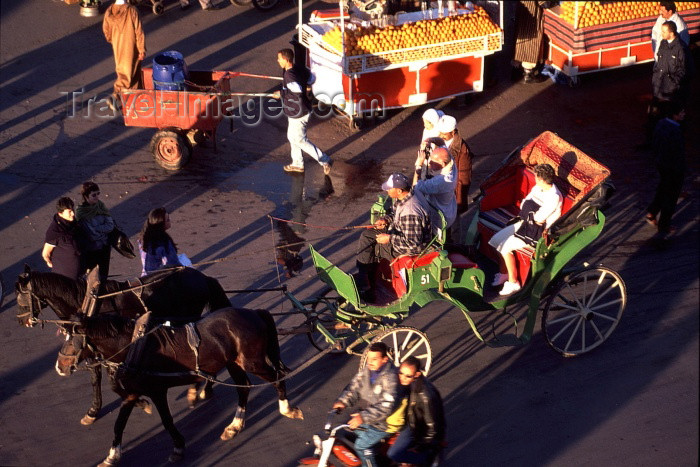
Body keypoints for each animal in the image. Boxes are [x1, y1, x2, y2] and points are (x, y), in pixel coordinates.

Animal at [14, 266, 232, 424]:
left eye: (20, 296)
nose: (21, 321)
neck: (88, 302)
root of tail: (202, 276)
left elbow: (112, 382)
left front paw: (140, 402)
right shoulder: (92, 348)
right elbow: (95, 378)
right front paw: (93, 411)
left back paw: (202, 389)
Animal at [56, 308, 304, 466]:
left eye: (72, 340)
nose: (59, 366)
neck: (133, 347)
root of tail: (254, 312)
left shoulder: (157, 391)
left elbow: (167, 421)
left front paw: (178, 447)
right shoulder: (133, 393)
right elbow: (118, 424)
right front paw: (112, 455)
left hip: (253, 361)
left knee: (276, 376)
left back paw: (286, 408)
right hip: (234, 363)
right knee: (243, 387)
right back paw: (234, 426)